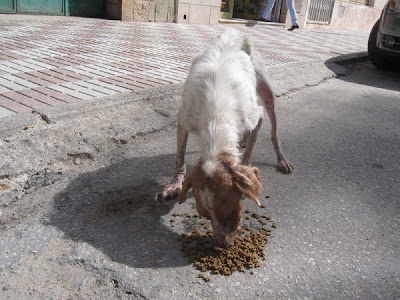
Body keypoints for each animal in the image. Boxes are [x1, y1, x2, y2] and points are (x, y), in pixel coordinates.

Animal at [160, 28, 294, 248]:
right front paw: (174, 185)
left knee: (274, 131)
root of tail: (235, 32)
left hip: (267, 91)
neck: (216, 120)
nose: (223, 245)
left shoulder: (257, 116)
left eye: (231, 213)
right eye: (206, 217)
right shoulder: (184, 119)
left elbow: (248, 156)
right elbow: (180, 158)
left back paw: (281, 159)